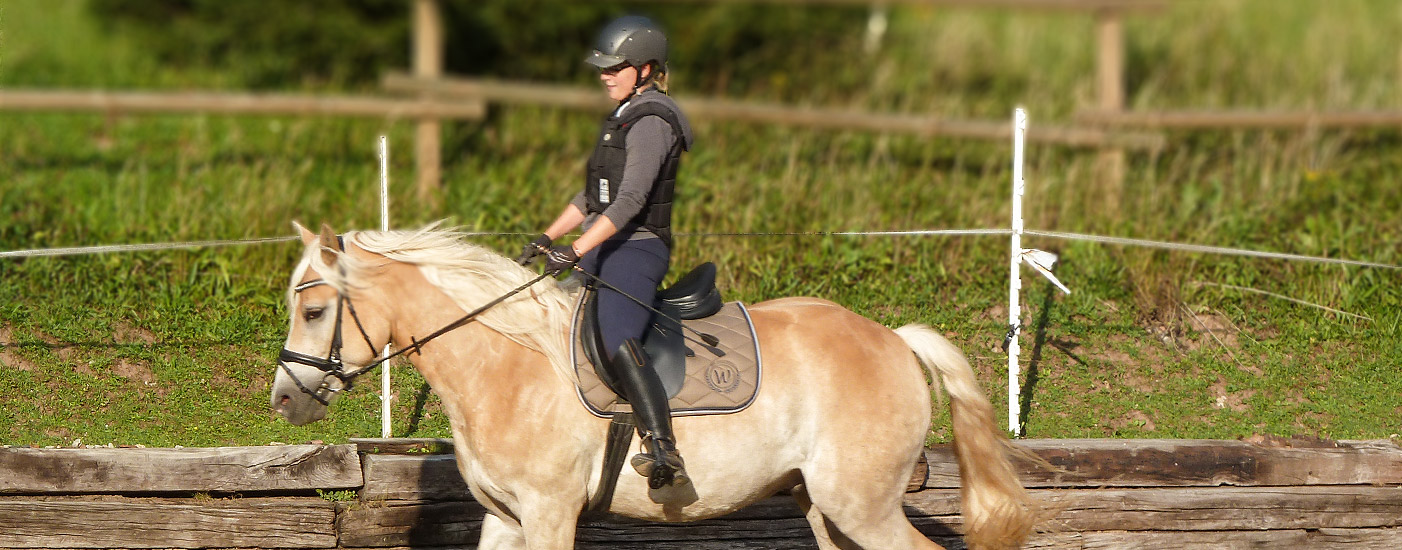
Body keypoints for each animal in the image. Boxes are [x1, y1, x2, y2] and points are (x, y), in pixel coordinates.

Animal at [276, 223, 1043, 550]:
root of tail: (893, 339)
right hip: (827, 508)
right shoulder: (506, 518)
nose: (284, 398)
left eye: (314, 311)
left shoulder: (550, 515)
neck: (503, 364)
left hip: (863, 507)